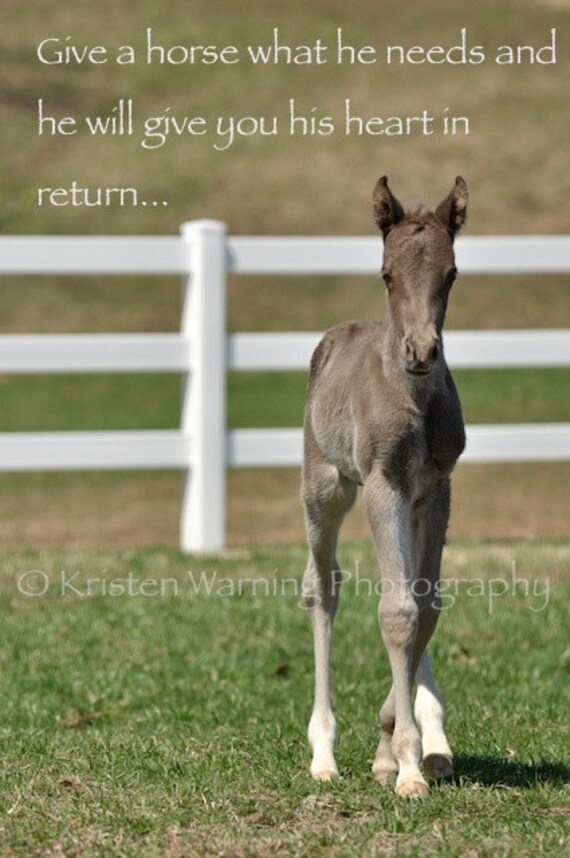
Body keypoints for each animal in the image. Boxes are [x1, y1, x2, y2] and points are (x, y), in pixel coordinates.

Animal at [302, 174, 466, 796]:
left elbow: (425, 605)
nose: (421, 352)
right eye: (387, 274)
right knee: (323, 586)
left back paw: (435, 744)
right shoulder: (382, 484)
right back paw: (323, 754)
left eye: (451, 273)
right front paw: (405, 766)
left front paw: (395, 752)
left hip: (412, 505)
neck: (414, 398)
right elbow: (396, 613)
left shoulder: (435, 489)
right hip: (323, 487)